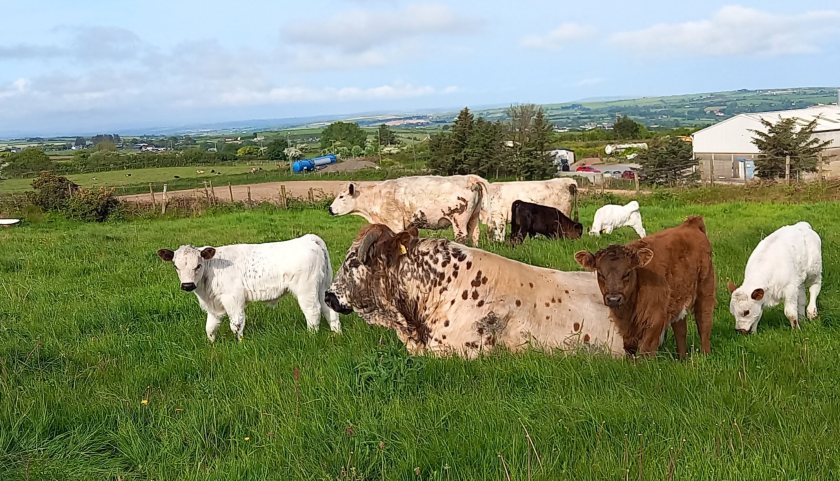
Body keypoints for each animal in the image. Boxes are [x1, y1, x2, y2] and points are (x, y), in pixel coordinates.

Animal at [157, 234, 341, 341]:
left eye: (198, 265)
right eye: (175, 266)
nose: (187, 285)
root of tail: (308, 238)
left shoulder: (233, 298)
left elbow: (236, 324)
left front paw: (240, 344)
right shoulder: (214, 305)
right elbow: (210, 327)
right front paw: (212, 345)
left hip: (306, 290)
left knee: (313, 312)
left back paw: (311, 336)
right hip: (323, 287)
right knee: (329, 309)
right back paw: (336, 333)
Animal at [328, 175, 488, 246]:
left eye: (341, 196)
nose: (330, 209)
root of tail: (469, 178)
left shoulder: (395, 224)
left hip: (459, 221)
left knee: (463, 237)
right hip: (474, 217)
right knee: (475, 235)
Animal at [574, 216, 715, 359]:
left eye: (627, 272)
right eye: (600, 273)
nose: (614, 299)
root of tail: (690, 224)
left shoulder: (655, 319)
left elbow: (645, 351)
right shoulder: (626, 330)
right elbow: (630, 350)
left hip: (706, 289)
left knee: (704, 322)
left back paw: (705, 355)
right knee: (680, 328)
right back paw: (682, 358)